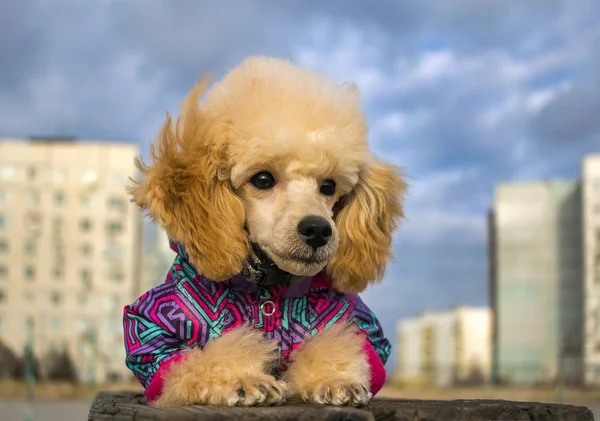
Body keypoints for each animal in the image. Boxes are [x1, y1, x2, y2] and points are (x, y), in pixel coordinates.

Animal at [125, 55, 408, 406]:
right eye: (262, 179)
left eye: (328, 186)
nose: (318, 229)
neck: (271, 287)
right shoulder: (153, 334)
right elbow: (203, 359)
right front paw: (242, 379)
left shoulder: (355, 321)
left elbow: (336, 342)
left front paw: (335, 379)